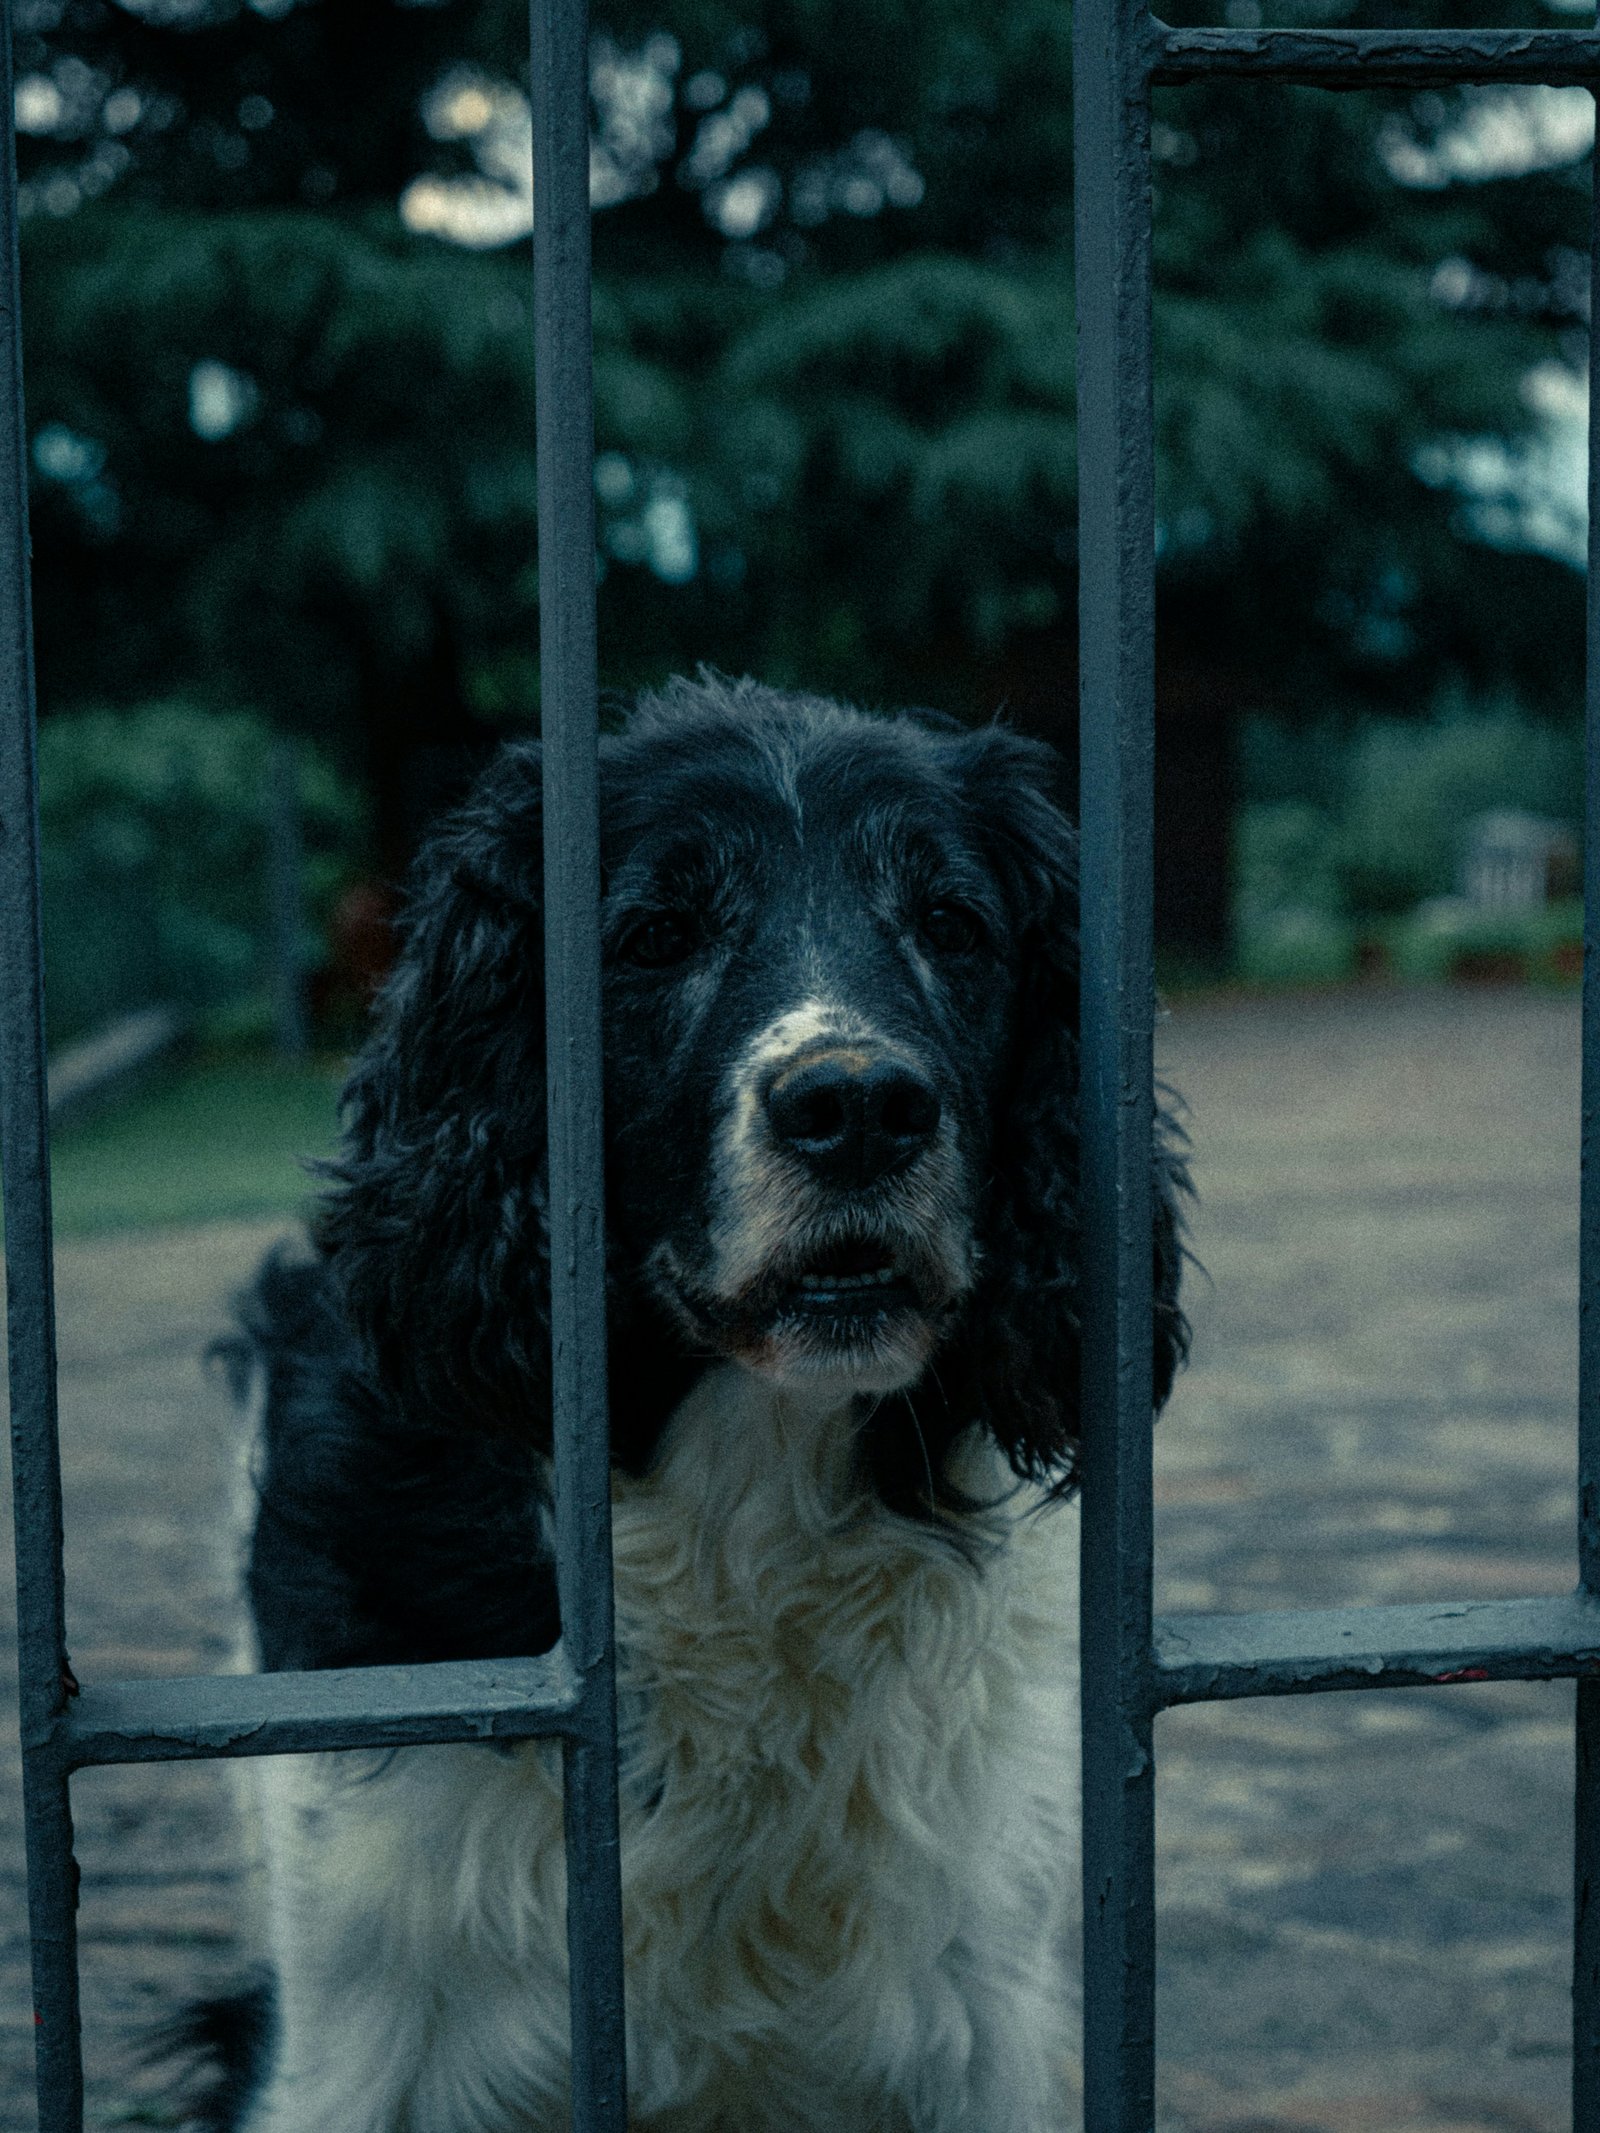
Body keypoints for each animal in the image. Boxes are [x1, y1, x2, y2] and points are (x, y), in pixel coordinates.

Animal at [194, 674, 1186, 2124]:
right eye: (656, 935)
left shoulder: (974, 2018)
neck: (735, 1504)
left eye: (953, 924)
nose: (859, 1110)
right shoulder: (363, 2031)